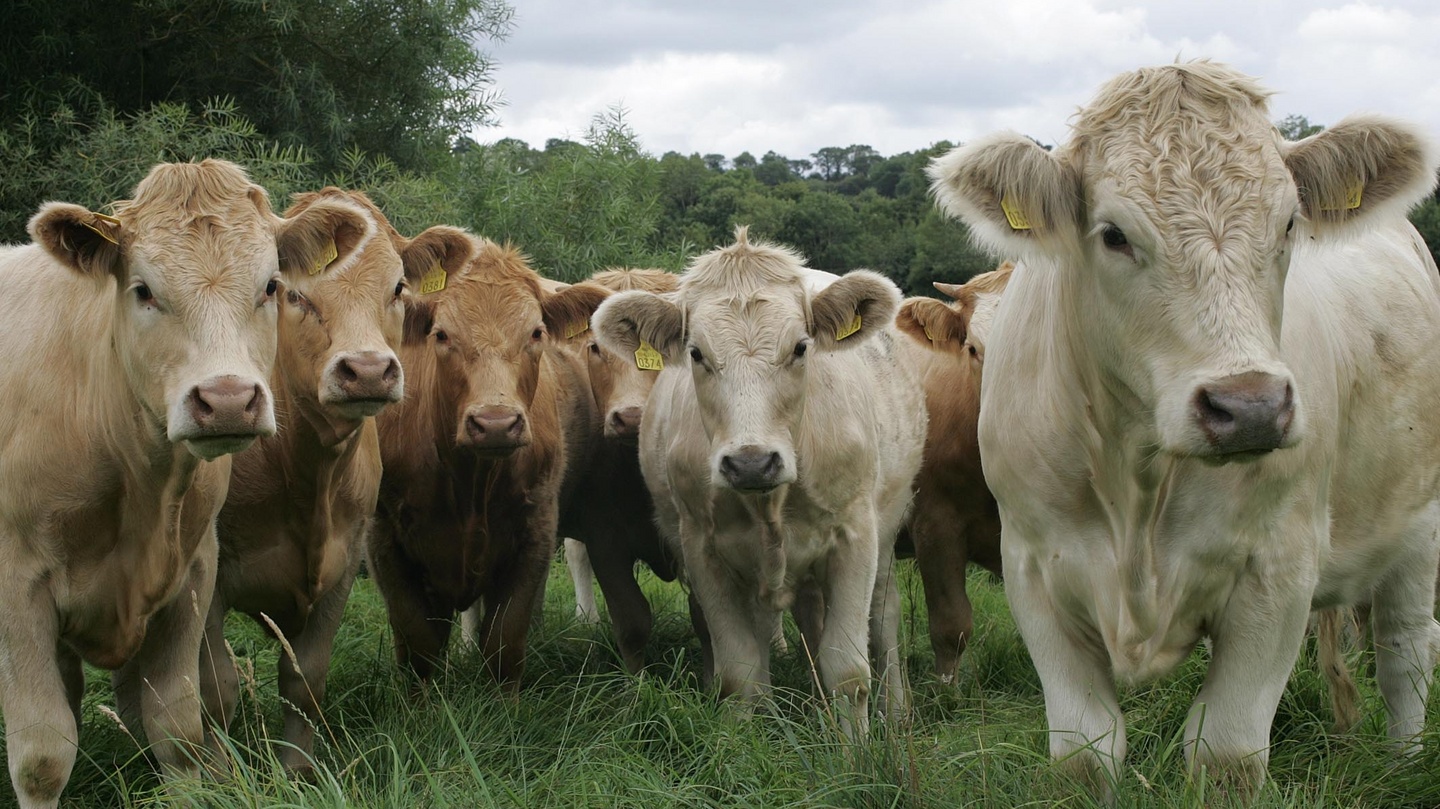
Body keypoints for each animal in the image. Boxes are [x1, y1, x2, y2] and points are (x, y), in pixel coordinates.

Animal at [197, 187, 443, 765]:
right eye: (290, 293)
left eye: (398, 287)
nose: (369, 370)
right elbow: (215, 688)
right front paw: (219, 774)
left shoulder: (344, 561)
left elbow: (304, 681)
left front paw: (296, 770)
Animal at [365, 234, 607, 685]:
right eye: (441, 335)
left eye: (536, 333)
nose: (496, 424)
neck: (469, 482)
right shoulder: (384, 539)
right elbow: (418, 642)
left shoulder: (535, 532)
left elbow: (505, 640)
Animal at [590, 227, 927, 731]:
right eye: (696, 353)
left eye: (801, 347)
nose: (751, 463)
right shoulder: (703, 550)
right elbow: (741, 672)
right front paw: (743, 740)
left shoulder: (855, 536)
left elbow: (848, 668)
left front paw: (856, 749)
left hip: (886, 531)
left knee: (883, 619)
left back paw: (898, 713)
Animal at [927, 58, 1440, 788]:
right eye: (1113, 234)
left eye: (1289, 224)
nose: (1250, 407)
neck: (1136, 482)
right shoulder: (1031, 562)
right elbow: (1085, 755)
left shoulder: (1279, 567)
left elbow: (1224, 753)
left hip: (1418, 522)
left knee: (1405, 648)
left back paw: (1403, 763)